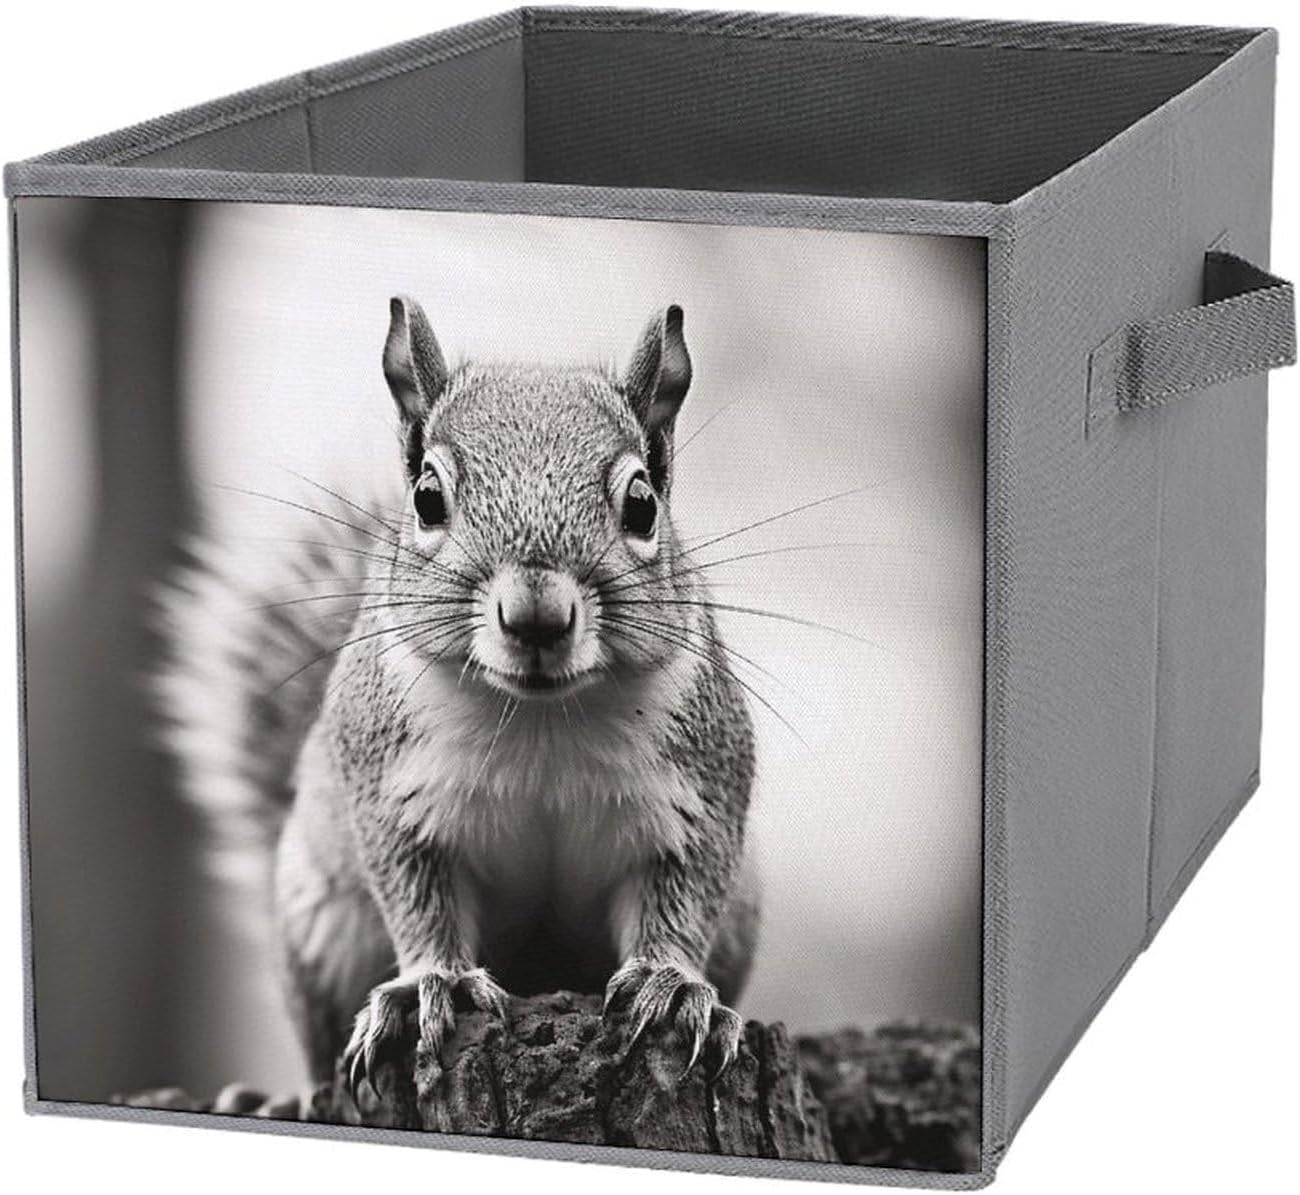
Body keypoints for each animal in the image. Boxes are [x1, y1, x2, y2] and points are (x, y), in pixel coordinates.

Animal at [156, 298, 758, 1092]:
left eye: (642, 503)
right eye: (427, 497)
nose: (536, 616)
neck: (539, 718)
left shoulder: (701, 791)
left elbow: (686, 894)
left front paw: (675, 986)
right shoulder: (390, 792)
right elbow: (419, 900)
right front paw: (429, 986)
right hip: (321, 921)